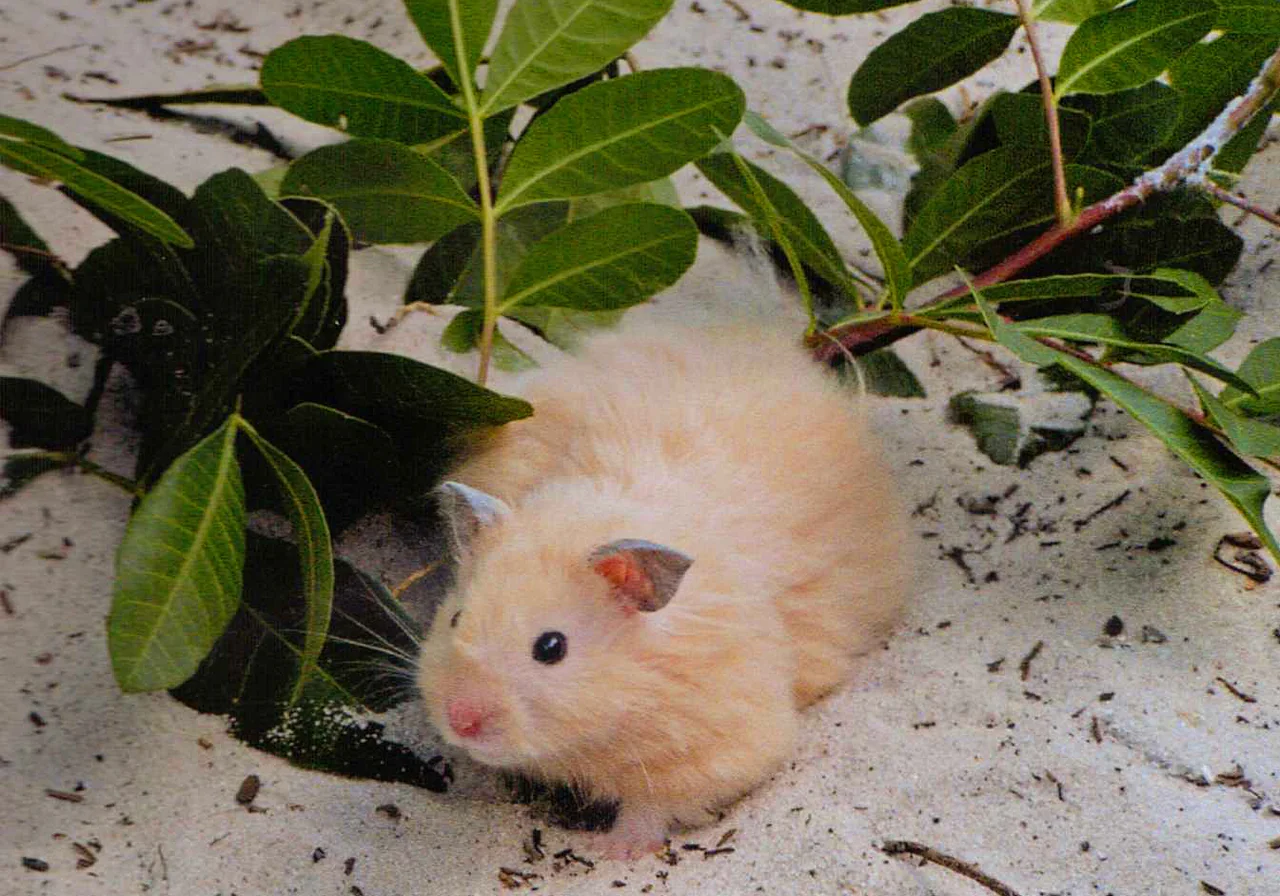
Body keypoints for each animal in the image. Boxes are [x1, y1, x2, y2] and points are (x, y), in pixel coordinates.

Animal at [416, 290, 909, 859]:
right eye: (455, 619)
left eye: (551, 648)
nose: (461, 719)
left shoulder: (720, 745)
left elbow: (653, 807)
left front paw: (614, 852)